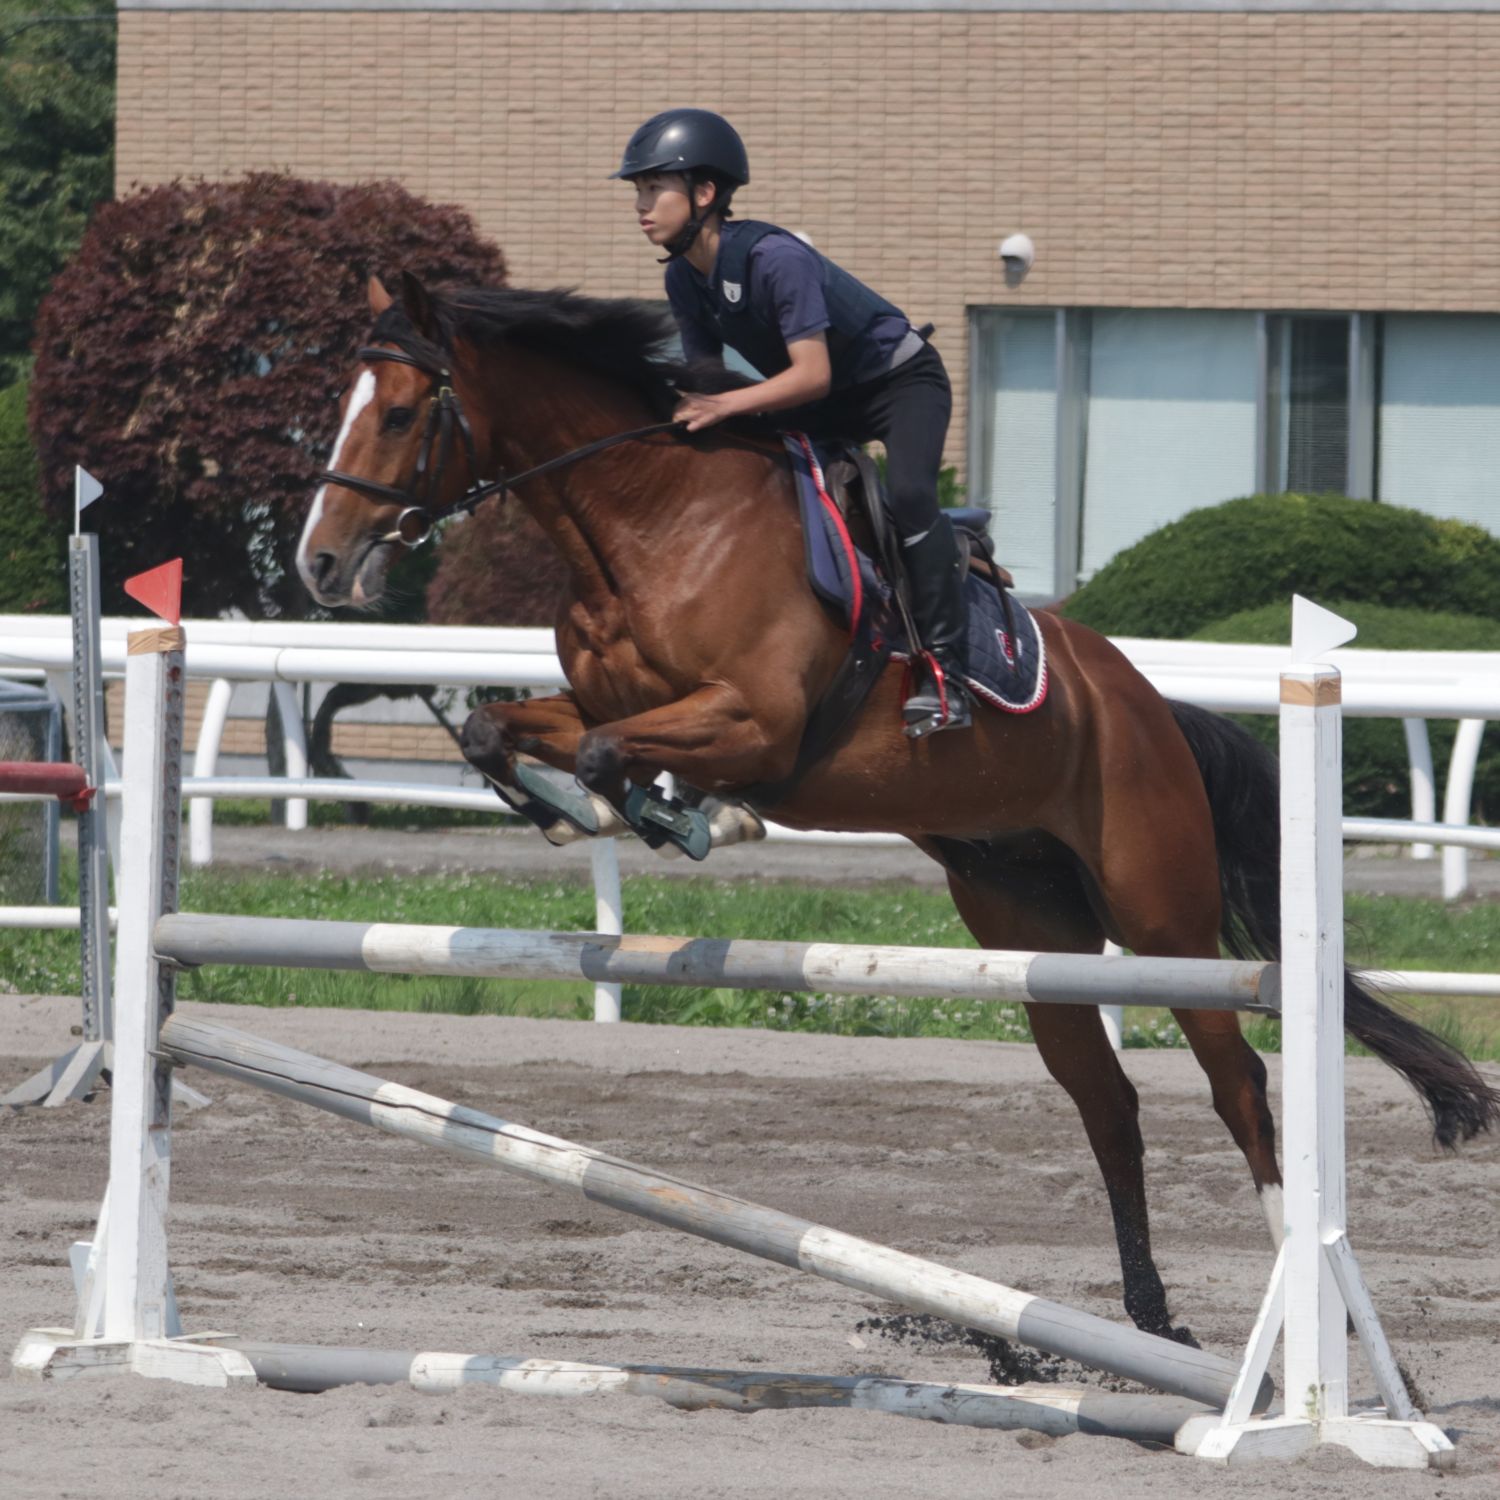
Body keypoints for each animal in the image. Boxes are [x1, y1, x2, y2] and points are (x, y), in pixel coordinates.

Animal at [297, 271, 1498, 1347]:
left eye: (398, 412)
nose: (317, 562)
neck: (650, 523)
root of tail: (1149, 704)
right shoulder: (612, 701)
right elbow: (503, 731)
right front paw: (580, 812)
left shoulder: (756, 726)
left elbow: (613, 751)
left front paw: (692, 818)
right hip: (1031, 925)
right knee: (1108, 1104)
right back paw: (1151, 1319)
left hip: (1163, 918)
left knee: (1238, 1083)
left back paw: (1305, 1322)